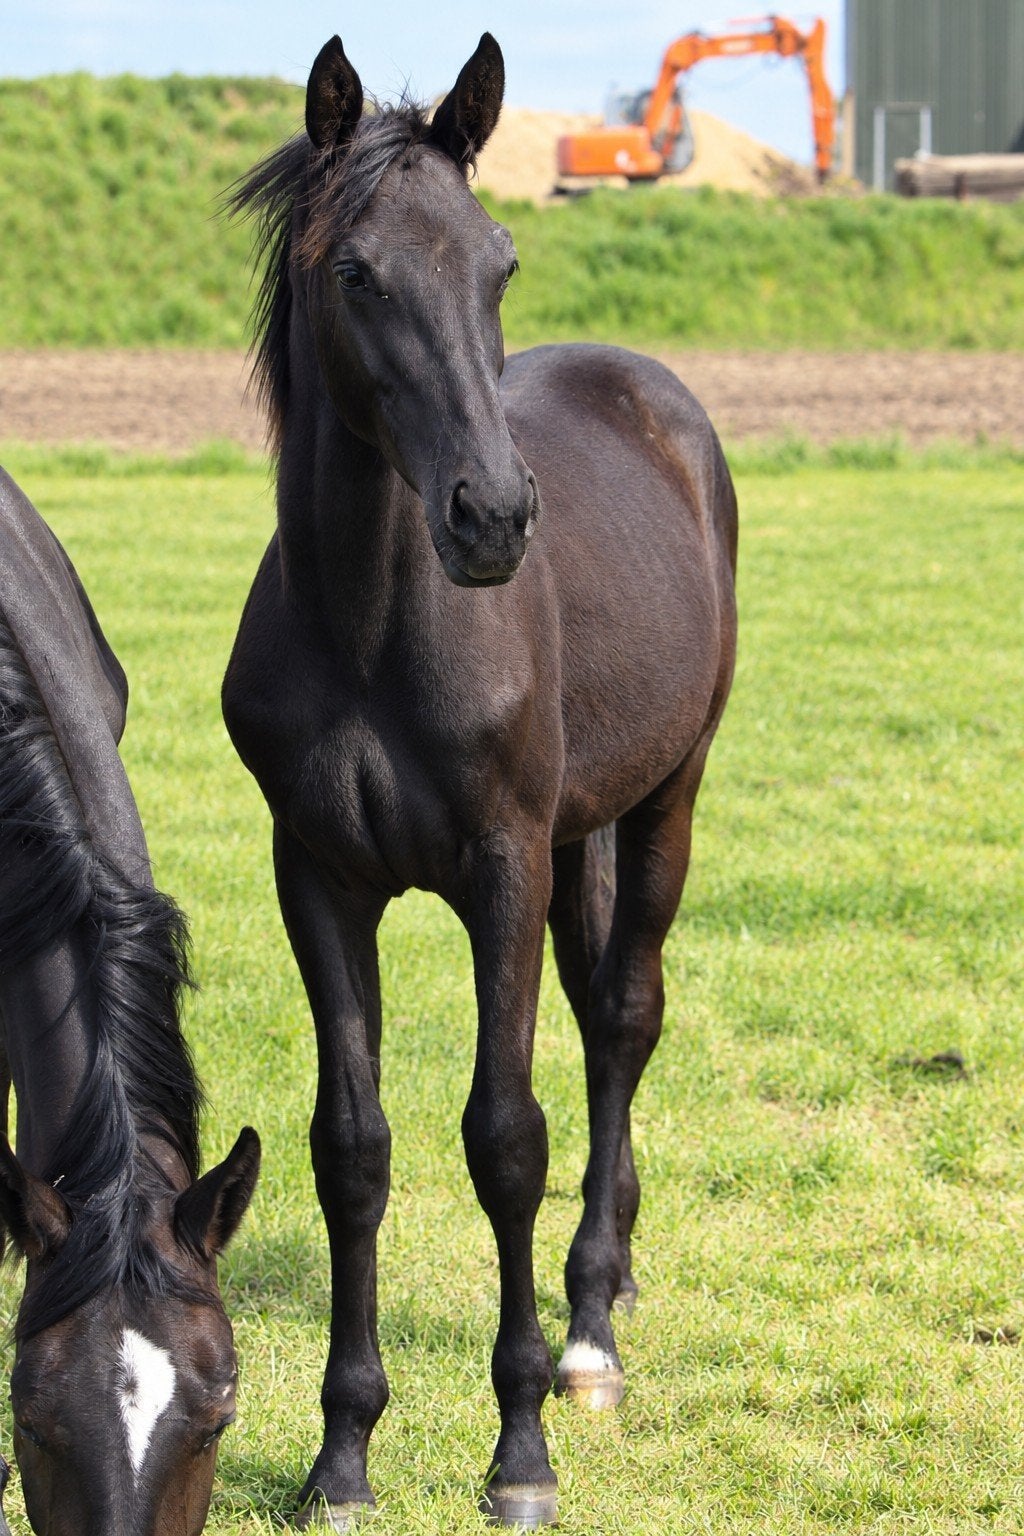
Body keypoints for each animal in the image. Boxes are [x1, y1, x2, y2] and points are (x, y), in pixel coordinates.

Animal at [224, 32, 737, 1530]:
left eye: (499, 263)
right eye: (356, 273)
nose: (495, 518)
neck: (369, 629)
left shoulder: (499, 868)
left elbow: (506, 1136)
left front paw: (518, 1456)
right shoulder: (319, 880)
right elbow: (353, 1149)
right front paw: (342, 1456)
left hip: (663, 801)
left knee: (623, 1020)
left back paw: (589, 1339)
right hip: (579, 842)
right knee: (598, 1008)